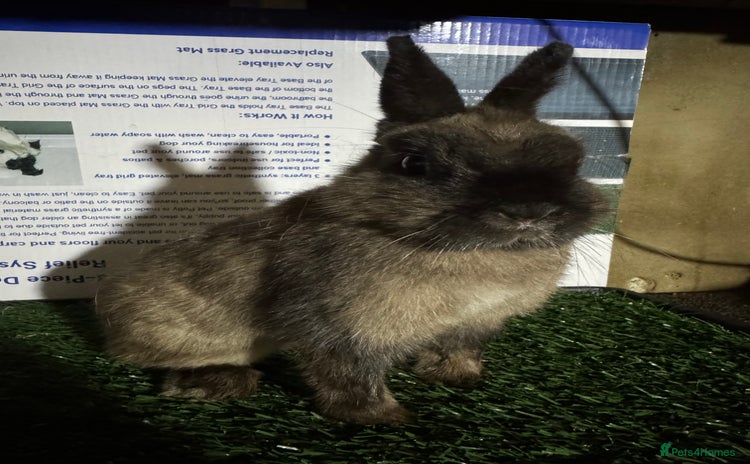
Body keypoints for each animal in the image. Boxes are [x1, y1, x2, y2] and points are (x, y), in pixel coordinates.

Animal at [95, 35, 606, 425]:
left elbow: (459, 349)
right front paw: (383, 420)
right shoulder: (339, 329)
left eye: (572, 160)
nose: (527, 211)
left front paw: (458, 378)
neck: (480, 257)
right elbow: (348, 375)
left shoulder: (475, 323)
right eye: (415, 165)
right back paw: (219, 382)